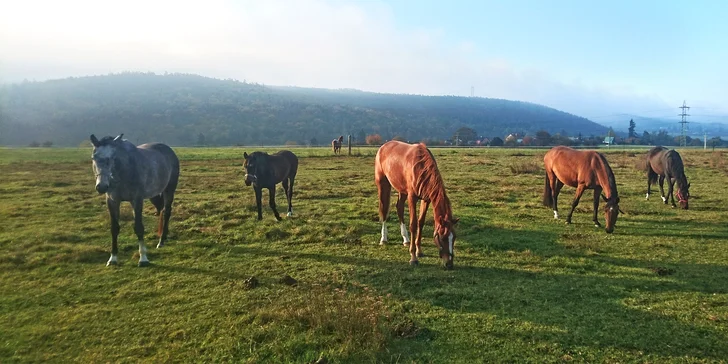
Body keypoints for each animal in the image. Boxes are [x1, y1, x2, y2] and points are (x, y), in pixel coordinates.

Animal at [89, 134, 181, 268]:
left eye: (113, 157)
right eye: (93, 157)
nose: (101, 186)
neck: (123, 172)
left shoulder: (136, 200)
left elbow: (138, 227)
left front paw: (143, 258)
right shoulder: (112, 201)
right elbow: (114, 228)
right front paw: (113, 258)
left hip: (169, 189)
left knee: (167, 212)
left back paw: (161, 240)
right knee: (162, 210)